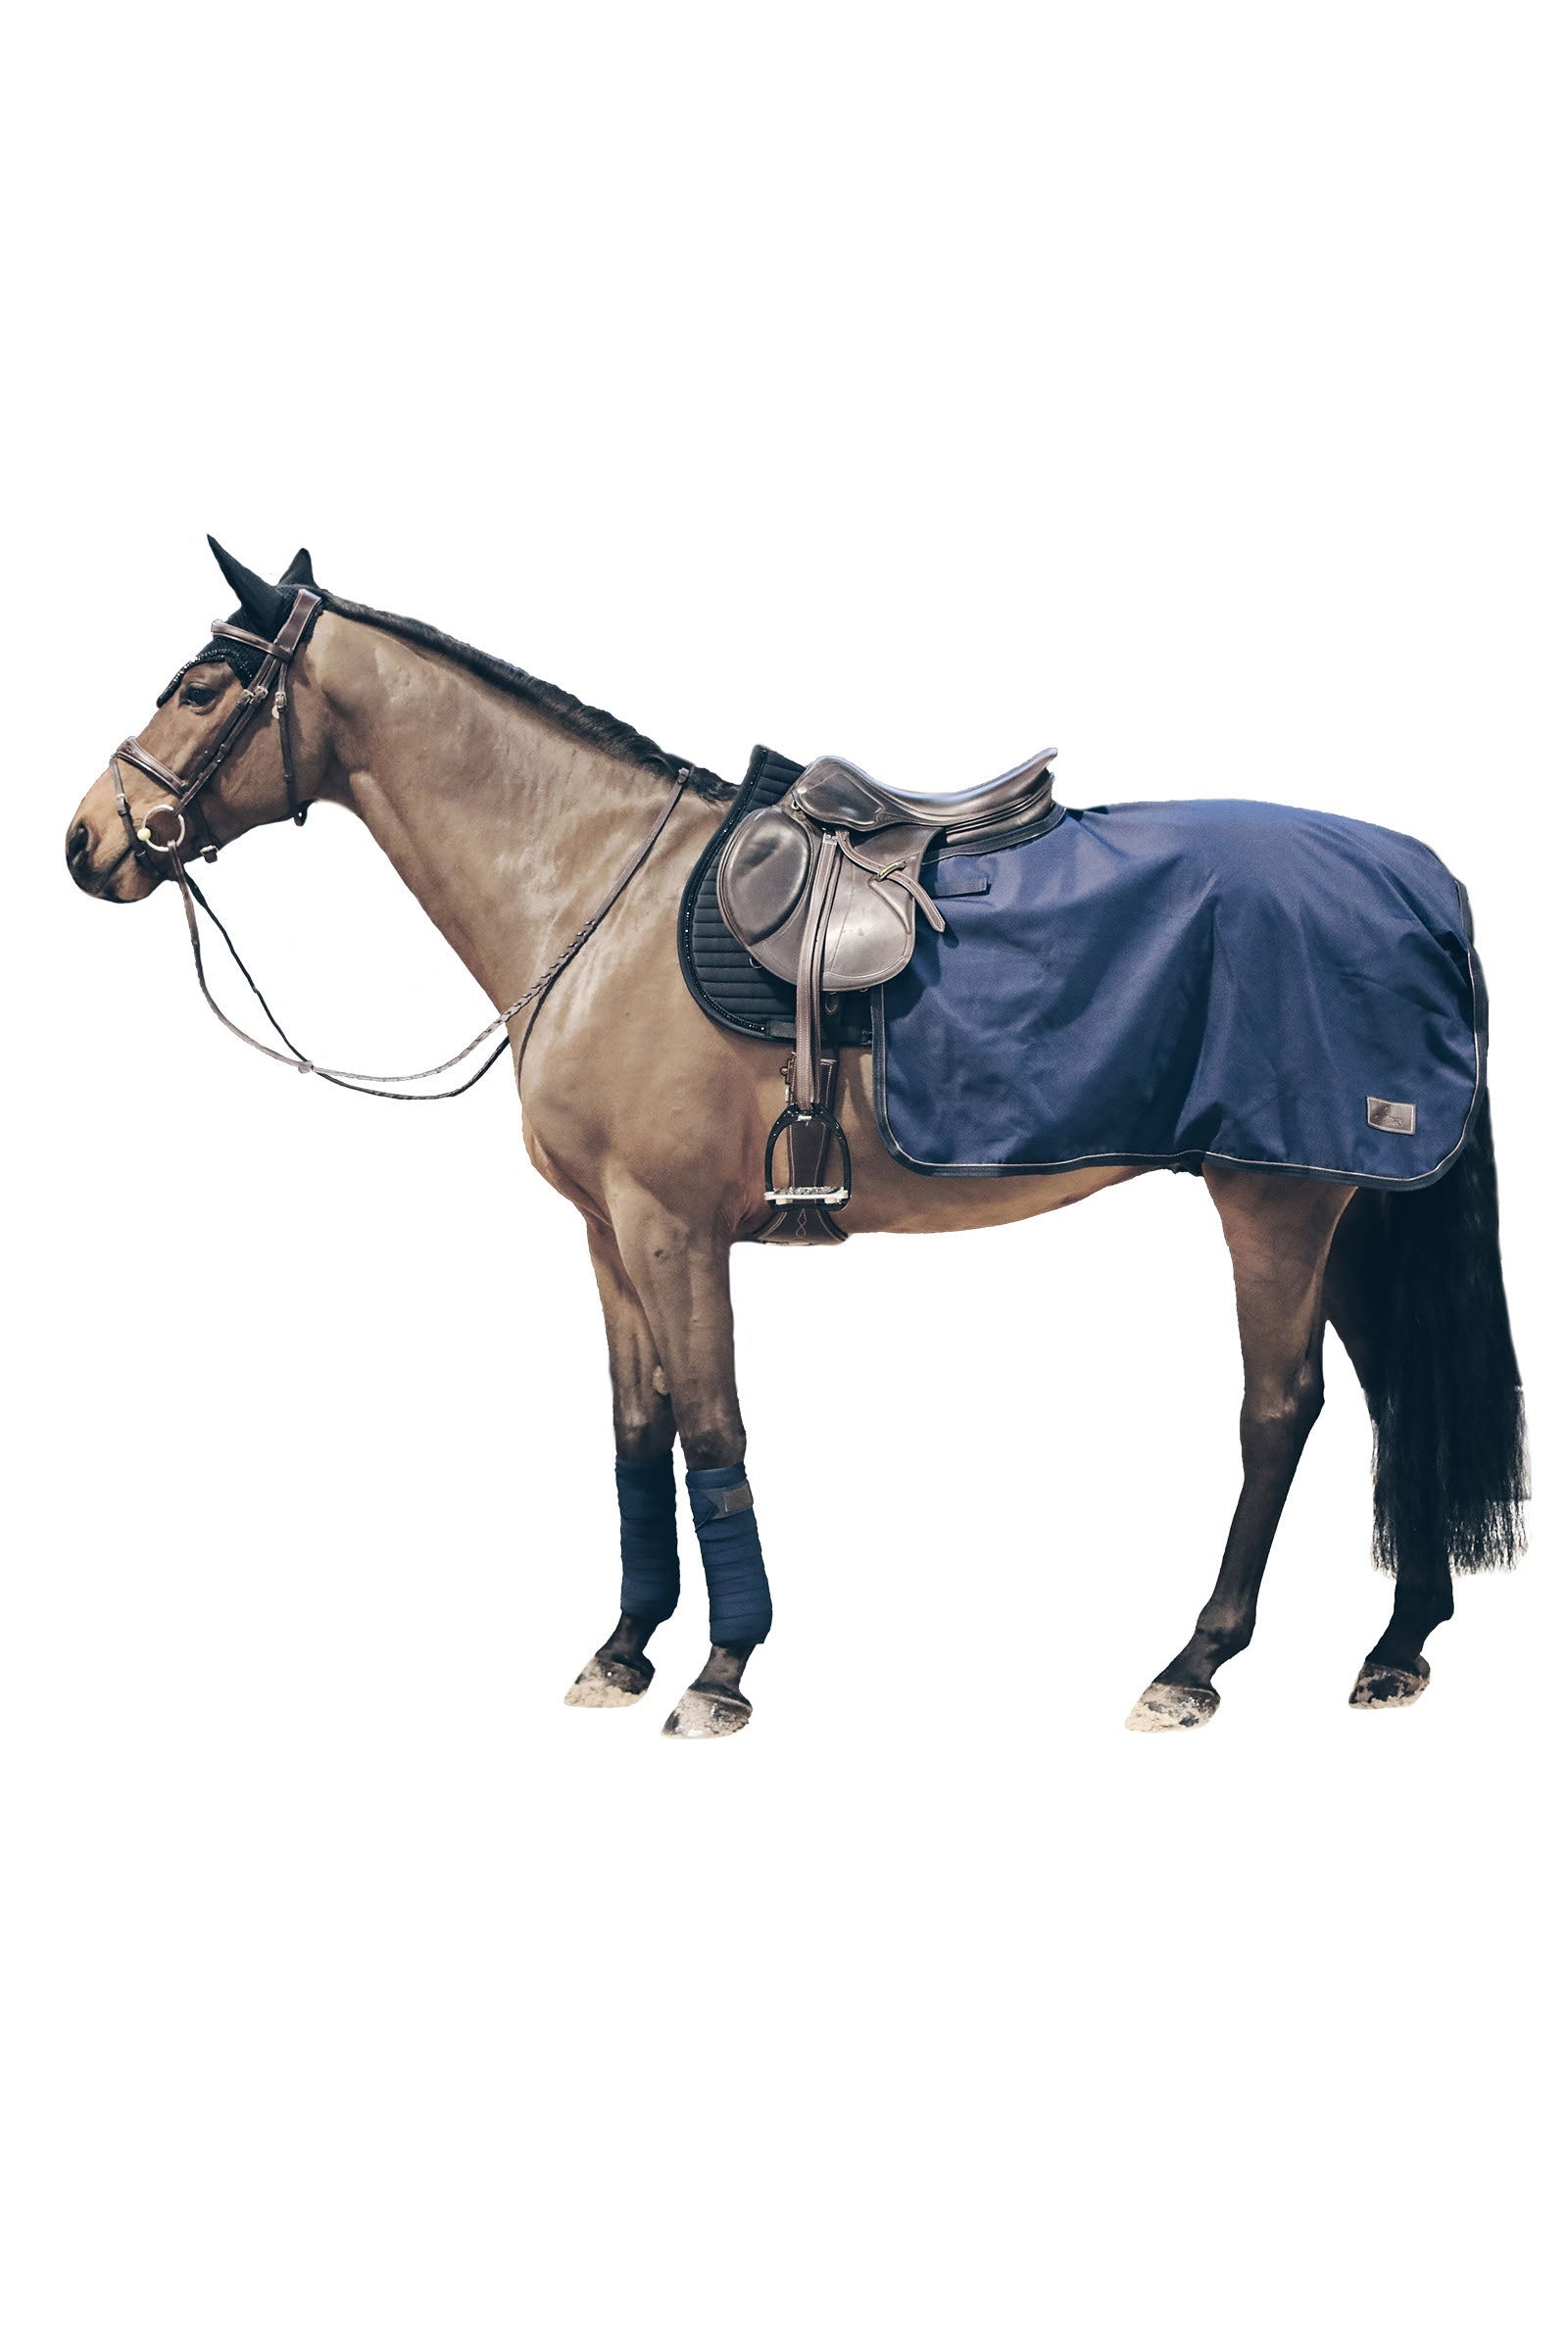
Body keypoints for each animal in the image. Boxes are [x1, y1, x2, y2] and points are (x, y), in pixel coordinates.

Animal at [64, 539, 1528, 1738]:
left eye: (202, 685)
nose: (86, 842)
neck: (596, 897)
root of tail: (1416, 879)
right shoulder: (606, 1237)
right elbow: (637, 1429)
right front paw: (624, 1647)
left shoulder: (673, 1227)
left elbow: (713, 1429)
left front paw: (721, 1671)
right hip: (1349, 1202)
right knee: (1402, 1395)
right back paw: (1397, 1646)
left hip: (1272, 1199)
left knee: (1280, 1411)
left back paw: (1195, 1663)